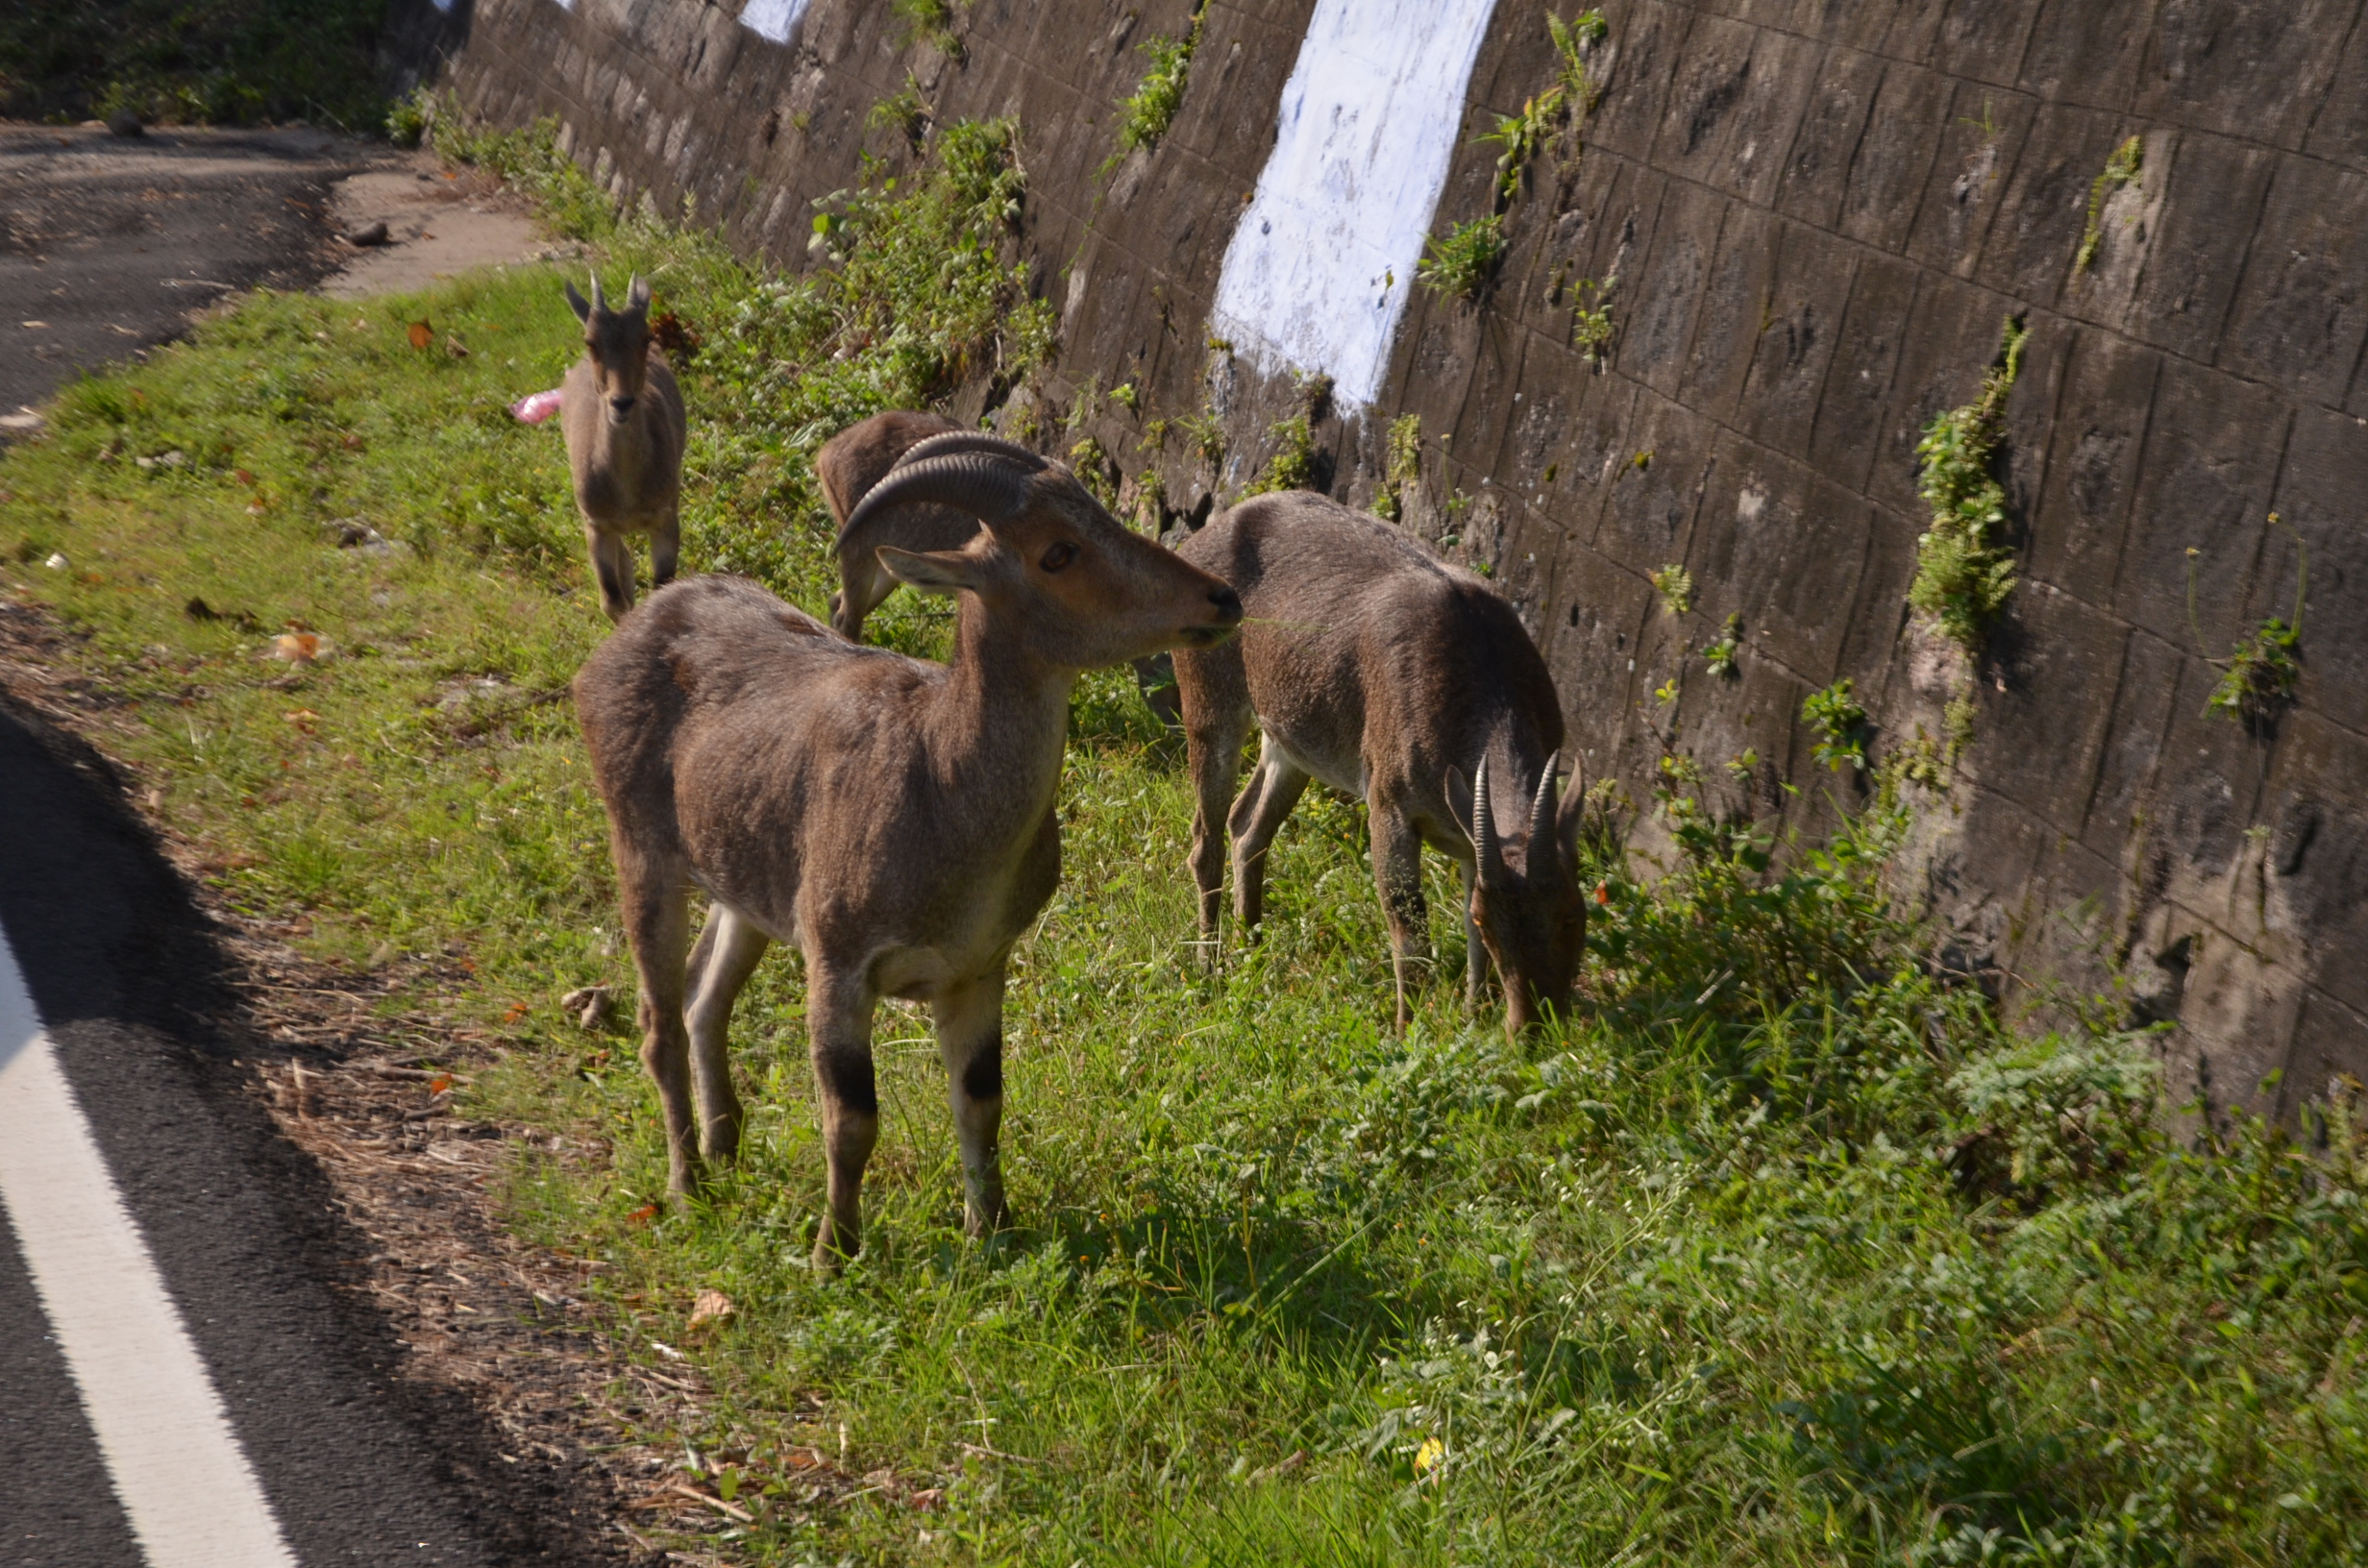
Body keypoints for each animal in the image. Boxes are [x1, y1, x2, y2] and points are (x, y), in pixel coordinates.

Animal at [560, 273, 686, 625]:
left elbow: (662, 589)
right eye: (591, 342)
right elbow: (612, 600)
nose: (622, 402)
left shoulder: (665, 518)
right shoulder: (596, 524)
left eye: (644, 338)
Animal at [575, 435, 1249, 1269]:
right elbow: (852, 1118)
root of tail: (620, 642)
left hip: (748, 887)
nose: (1219, 599)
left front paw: (992, 1234)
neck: (943, 786)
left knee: (707, 997)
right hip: (642, 849)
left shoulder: (979, 966)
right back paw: (687, 1183)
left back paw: (725, 1149)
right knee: (659, 1020)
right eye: (1058, 552)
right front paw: (834, 1253)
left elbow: (983, 1100)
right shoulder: (839, 961)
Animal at [1170, 497, 1581, 1037]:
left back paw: (1251, 948)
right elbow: (1410, 934)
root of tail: (1200, 539)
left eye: (1572, 912)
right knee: (1207, 838)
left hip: (1290, 741)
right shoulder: (1390, 803)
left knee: (1248, 825)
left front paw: (1472, 1021)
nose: (1534, 1025)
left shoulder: (1472, 835)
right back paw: (1208, 968)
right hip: (1209, 699)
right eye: (1492, 922)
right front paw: (1408, 1035)